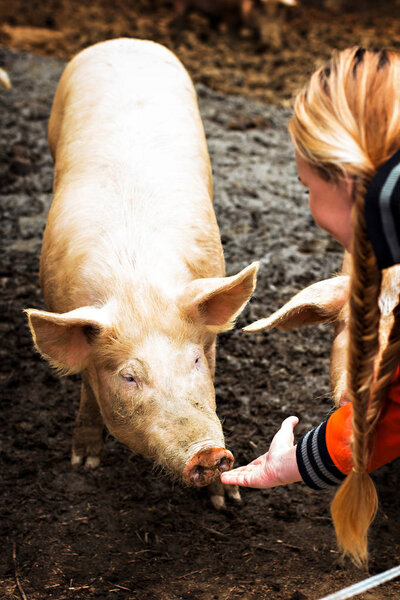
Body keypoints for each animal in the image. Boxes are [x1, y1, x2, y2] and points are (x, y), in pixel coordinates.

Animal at [26, 37, 260, 508]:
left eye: (194, 360)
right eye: (130, 377)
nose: (208, 453)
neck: (137, 287)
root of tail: (122, 41)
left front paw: (228, 503)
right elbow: (88, 393)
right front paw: (83, 464)